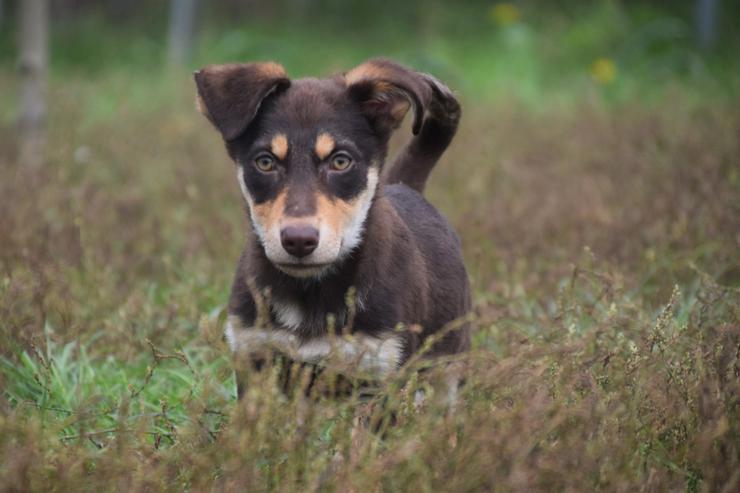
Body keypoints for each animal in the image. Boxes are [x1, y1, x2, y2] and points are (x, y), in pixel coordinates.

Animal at [194, 58, 472, 396]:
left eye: (341, 161)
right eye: (265, 162)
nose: (299, 240)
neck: (309, 294)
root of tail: (407, 186)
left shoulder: (380, 370)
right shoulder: (255, 356)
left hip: (448, 367)